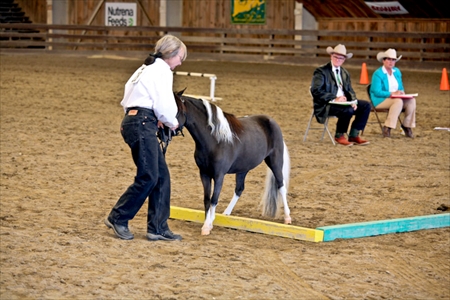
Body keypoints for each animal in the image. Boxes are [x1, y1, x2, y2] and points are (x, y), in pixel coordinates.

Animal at [172, 90, 292, 236]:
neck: (214, 140)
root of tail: (272, 122)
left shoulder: (219, 175)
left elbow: (214, 199)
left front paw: (207, 226)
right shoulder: (204, 173)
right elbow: (207, 199)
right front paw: (208, 222)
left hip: (275, 161)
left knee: (281, 185)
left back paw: (287, 217)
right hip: (243, 168)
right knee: (239, 189)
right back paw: (226, 213)